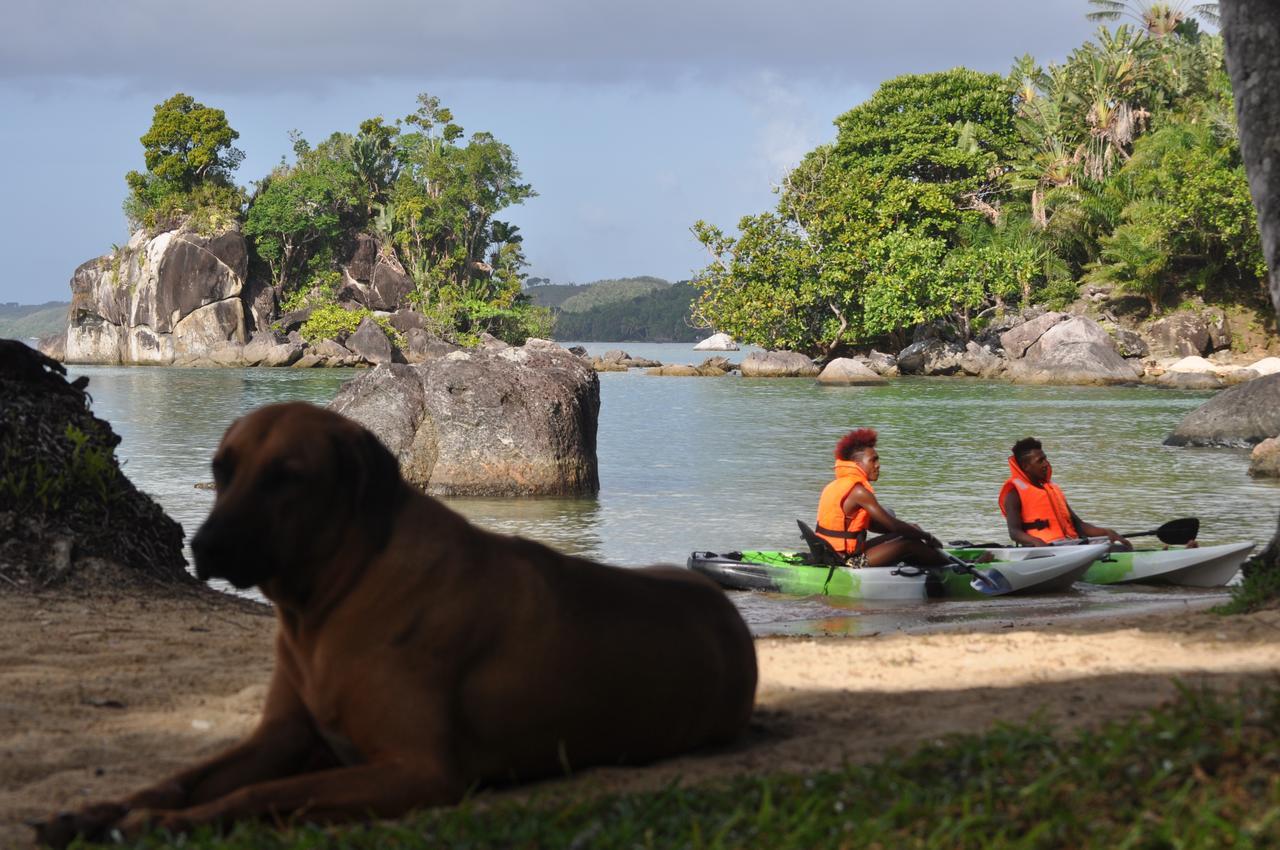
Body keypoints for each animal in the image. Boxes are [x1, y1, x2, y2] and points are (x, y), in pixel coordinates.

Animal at [37, 401, 757, 844]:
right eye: (222, 469)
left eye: (287, 477)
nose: (203, 546)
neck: (329, 603)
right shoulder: (283, 735)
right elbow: (182, 777)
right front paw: (103, 809)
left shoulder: (417, 770)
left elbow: (256, 797)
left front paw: (158, 824)